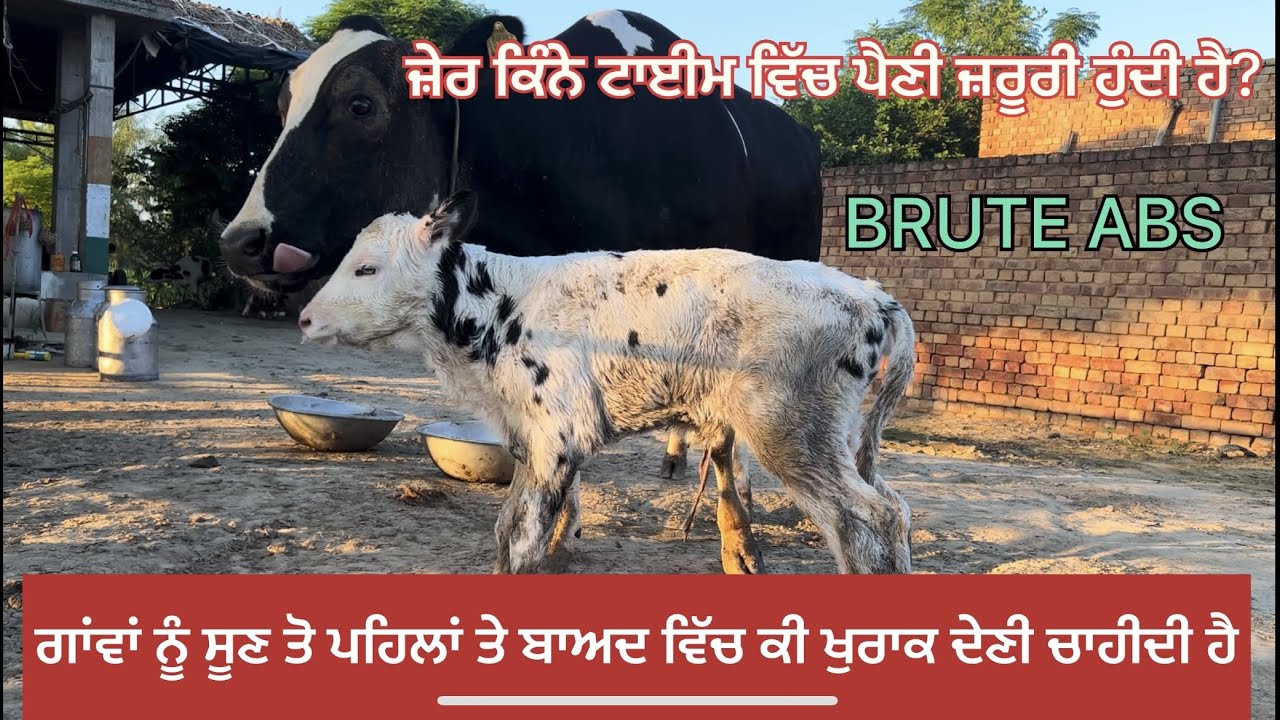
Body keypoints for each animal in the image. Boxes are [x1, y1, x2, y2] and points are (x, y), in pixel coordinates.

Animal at [298, 192, 916, 575]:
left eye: (367, 268)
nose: (304, 318)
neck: (503, 304)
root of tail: (873, 297)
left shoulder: (553, 436)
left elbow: (522, 535)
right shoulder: (537, 440)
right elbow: (516, 526)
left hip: (791, 429)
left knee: (869, 520)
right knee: (894, 506)